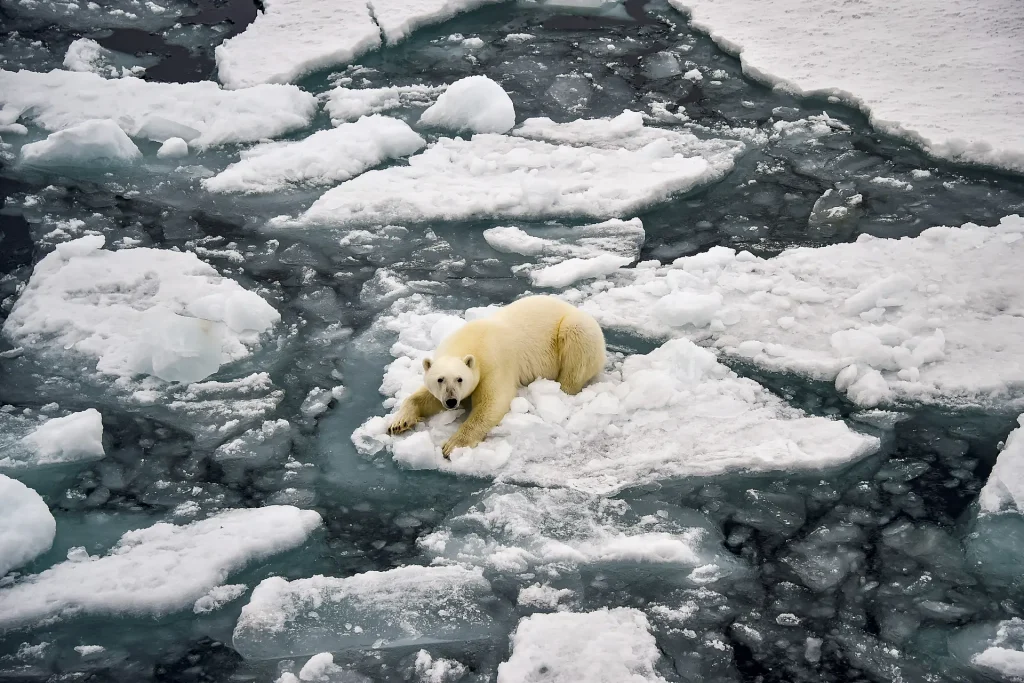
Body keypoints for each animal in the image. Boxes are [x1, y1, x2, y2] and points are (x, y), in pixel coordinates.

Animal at [387, 294, 602, 458]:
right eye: (440, 379)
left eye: (460, 379)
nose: (451, 401)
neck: (470, 340)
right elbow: (424, 397)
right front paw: (398, 423)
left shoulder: (494, 362)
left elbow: (492, 402)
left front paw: (452, 446)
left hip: (574, 330)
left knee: (575, 350)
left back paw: (563, 388)